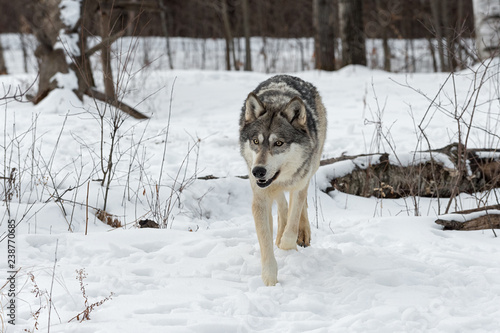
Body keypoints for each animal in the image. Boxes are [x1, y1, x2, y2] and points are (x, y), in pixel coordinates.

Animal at [239, 75, 328, 286]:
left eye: (278, 143)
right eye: (255, 141)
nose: (258, 171)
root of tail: (285, 75)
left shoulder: (299, 184)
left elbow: (291, 230)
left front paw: (289, 244)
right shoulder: (260, 199)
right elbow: (266, 242)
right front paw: (270, 280)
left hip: (312, 168)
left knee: (300, 205)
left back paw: (302, 233)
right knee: (281, 204)